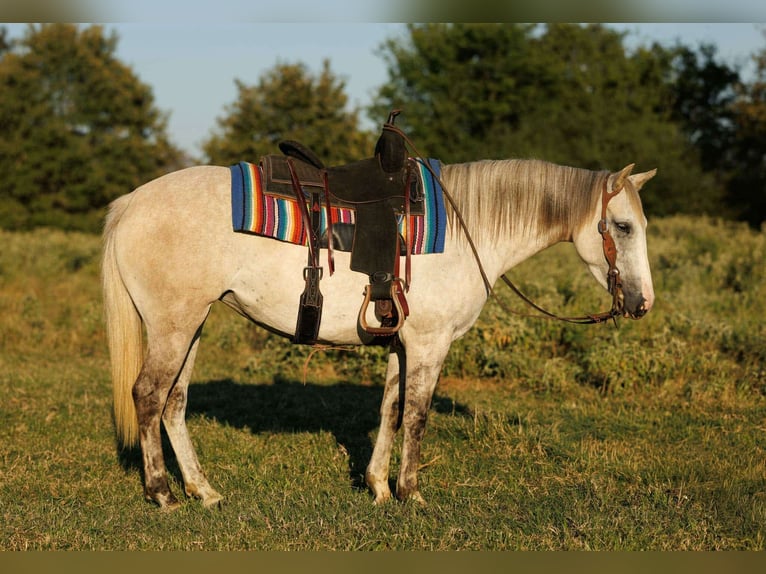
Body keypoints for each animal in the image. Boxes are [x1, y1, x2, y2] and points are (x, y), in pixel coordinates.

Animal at [102, 157, 656, 509]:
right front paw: (411, 493)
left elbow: (390, 409)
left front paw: (379, 487)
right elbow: (416, 416)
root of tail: (131, 202)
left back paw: (203, 491)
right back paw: (162, 493)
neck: (467, 230)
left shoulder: (402, 344)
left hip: (190, 325)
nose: (642, 303)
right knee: (148, 396)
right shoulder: (430, 343)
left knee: (174, 402)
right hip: (174, 325)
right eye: (623, 226)